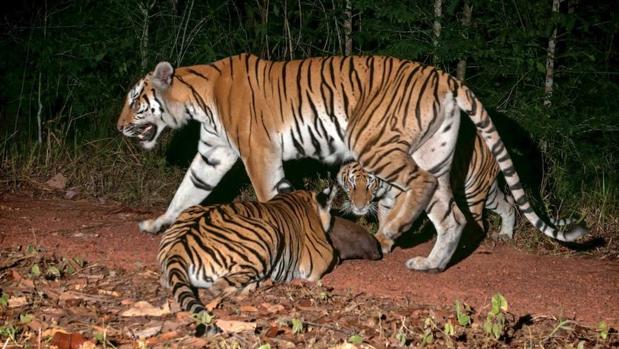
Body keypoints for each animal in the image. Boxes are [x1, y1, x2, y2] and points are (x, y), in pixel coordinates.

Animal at [336, 132, 516, 238]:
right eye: (351, 183)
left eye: (369, 184)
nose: (359, 207)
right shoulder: (385, 202)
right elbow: (384, 219)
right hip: (487, 190)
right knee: (508, 206)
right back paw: (506, 234)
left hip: (474, 193)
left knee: (478, 221)